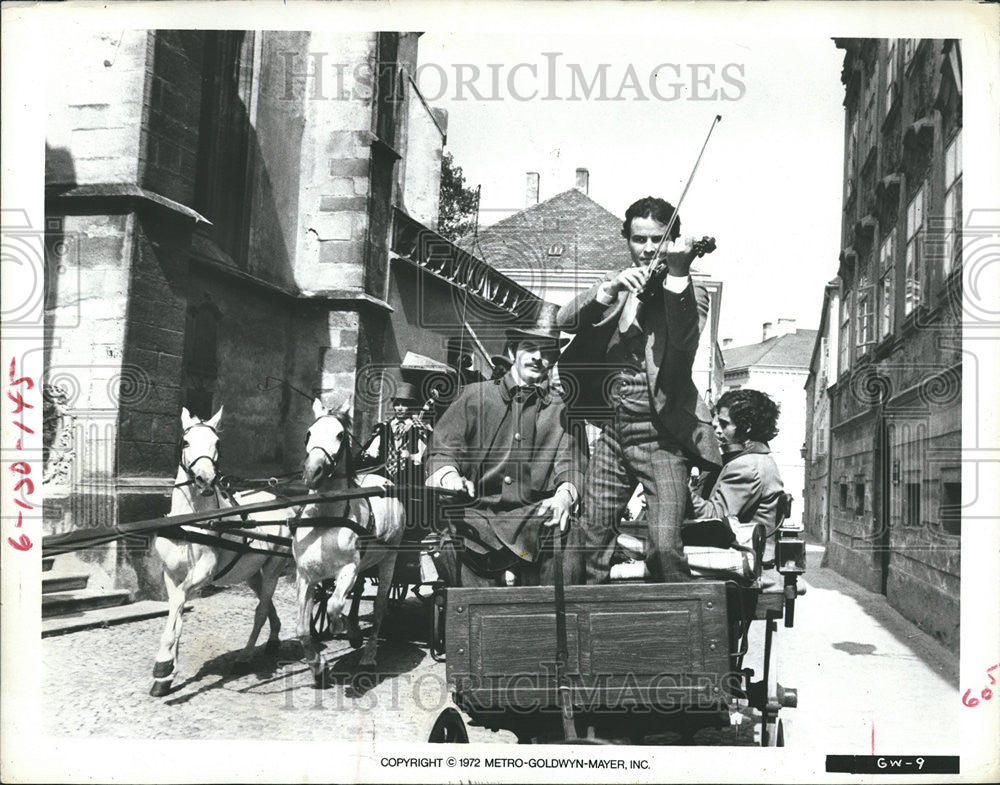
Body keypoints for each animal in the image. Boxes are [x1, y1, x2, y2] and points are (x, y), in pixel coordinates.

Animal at [150, 408, 292, 696]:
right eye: (185, 442)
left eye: (217, 443)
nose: (205, 479)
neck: (191, 523)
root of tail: (280, 502)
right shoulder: (170, 574)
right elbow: (176, 611)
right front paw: (168, 672)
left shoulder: (203, 573)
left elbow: (179, 605)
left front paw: (163, 665)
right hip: (252, 573)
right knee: (266, 602)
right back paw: (273, 638)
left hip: (274, 567)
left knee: (261, 609)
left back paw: (245, 657)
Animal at [292, 398, 406, 688]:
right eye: (309, 433)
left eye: (340, 435)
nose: (312, 472)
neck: (325, 518)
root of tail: (384, 479)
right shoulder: (305, 575)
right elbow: (302, 628)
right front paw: (318, 668)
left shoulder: (348, 569)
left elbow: (334, 605)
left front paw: (342, 628)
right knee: (357, 592)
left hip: (389, 559)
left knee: (379, 607)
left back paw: (368, 654)